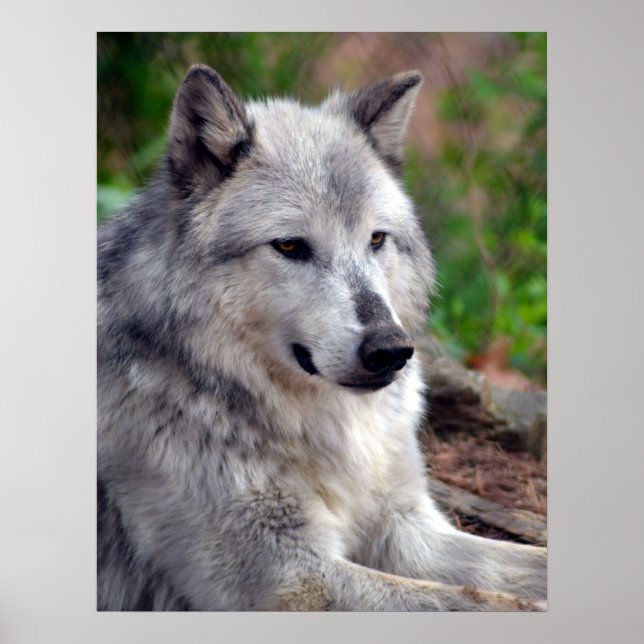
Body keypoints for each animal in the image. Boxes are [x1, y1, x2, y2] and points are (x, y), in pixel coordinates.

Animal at [97, 64, 547, 611]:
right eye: (290, 246)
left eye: (376, 239)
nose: (390, 350)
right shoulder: (292, 577)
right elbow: (476, 601)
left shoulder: (407, 527)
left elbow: (521, 567)